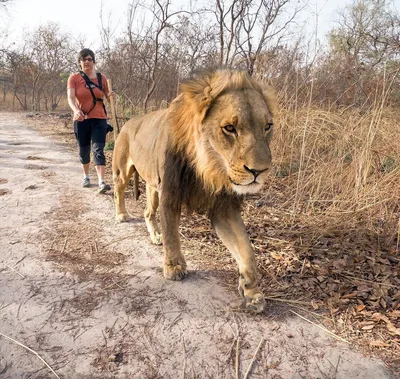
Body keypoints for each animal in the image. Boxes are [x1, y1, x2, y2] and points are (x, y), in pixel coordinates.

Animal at [111, 69, 276, 314]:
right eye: (230, 128)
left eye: (267, 127)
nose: (260, 171)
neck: (208, 168)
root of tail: (127, 122)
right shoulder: (170, 195)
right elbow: (172, 236)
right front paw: (174, 267)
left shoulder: (222, 207)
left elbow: (246, 248)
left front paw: (252, 290)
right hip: (124, 170)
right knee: (118, 190)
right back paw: (121, 214)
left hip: (152, 185)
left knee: (148, 212)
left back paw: (155, 235)